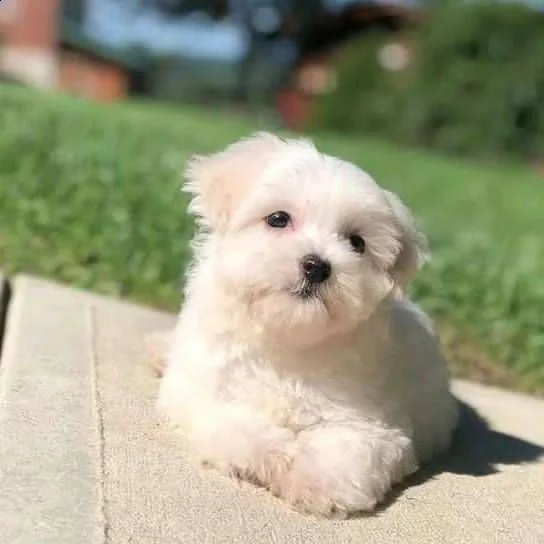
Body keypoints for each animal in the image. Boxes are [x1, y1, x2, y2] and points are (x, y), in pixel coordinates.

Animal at [157, 133, 460, 520]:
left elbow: (350, 450)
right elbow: (233, 420)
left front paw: (315, 480)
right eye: (277, 219)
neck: (287, 338)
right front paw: (275, 453)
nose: (316, 266)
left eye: (357, 242)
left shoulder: (374, 420)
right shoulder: (202, 388)